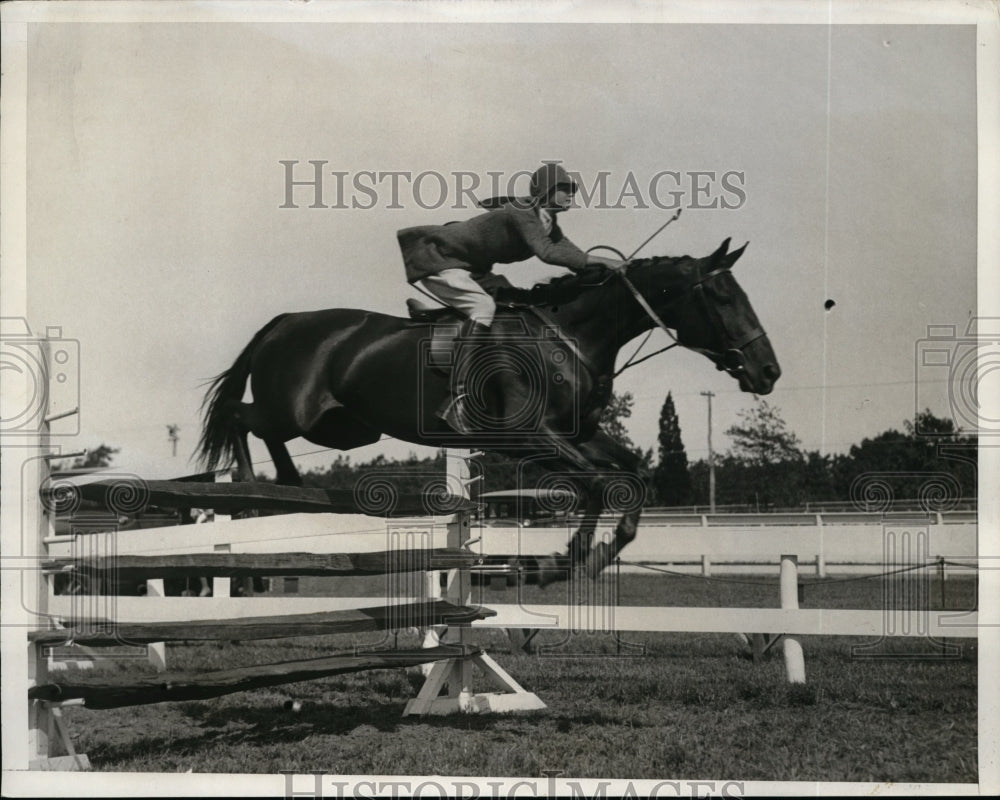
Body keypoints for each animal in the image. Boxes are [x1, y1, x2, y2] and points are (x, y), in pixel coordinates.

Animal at [197, 234, 780, 580]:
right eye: (723, 298)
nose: (768, 372)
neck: (570, 335)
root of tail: (284, 321)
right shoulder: (527, 437)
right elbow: (598, 484)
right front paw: (562, 561)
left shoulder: (577, 434)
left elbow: (631, 477)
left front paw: (589, 558)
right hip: (303, 414)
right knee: (240, 417)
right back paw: (254, 491)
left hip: (346, 429)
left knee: (258, 427)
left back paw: (285, 486)